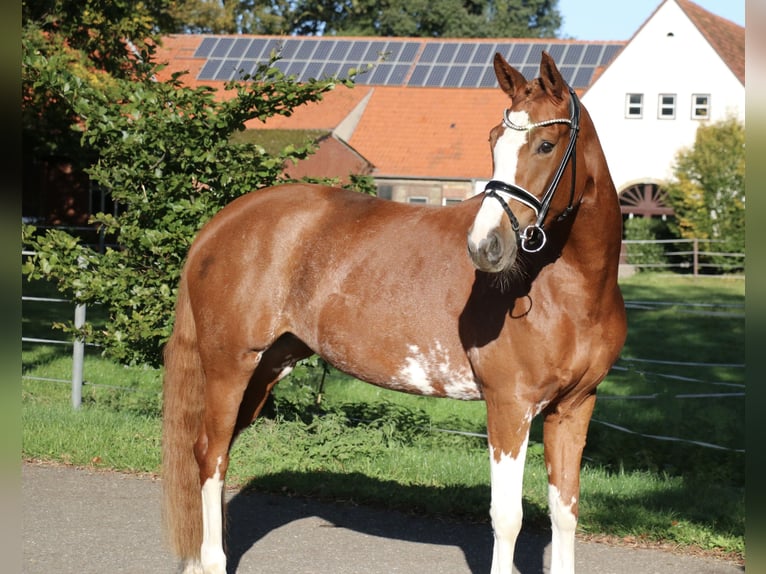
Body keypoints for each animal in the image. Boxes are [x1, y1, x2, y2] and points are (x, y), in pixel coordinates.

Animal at [164, 51, 632, 572]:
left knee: (217, 451)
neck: (570, 291)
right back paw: (212, 559)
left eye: (547, 145)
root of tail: (219, 224)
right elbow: (507, 518)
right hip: (228, 366)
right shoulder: (510, 406)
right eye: (494, 141)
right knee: (211, 455)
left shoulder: (574, 408)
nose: (485, 245)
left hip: (268, 366)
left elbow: (565, 511)